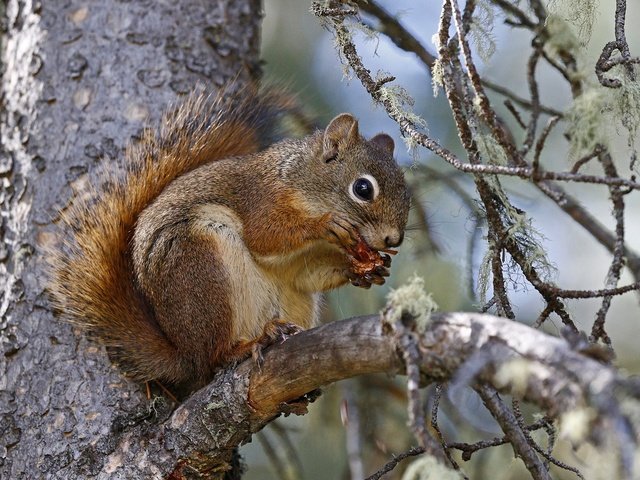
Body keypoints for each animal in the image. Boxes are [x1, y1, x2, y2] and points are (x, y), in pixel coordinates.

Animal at [48, 85, 410, 390]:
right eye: (362, 188)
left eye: (406, 191)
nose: (393, 240)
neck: (299, 180)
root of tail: (184, 353)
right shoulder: (261, 199)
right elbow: (265, 236)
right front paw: (326, 223)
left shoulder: (302, 264)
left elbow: (305, 275)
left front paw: (365, 269)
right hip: (202, 268)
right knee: (213, 358)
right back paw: (248, 345)